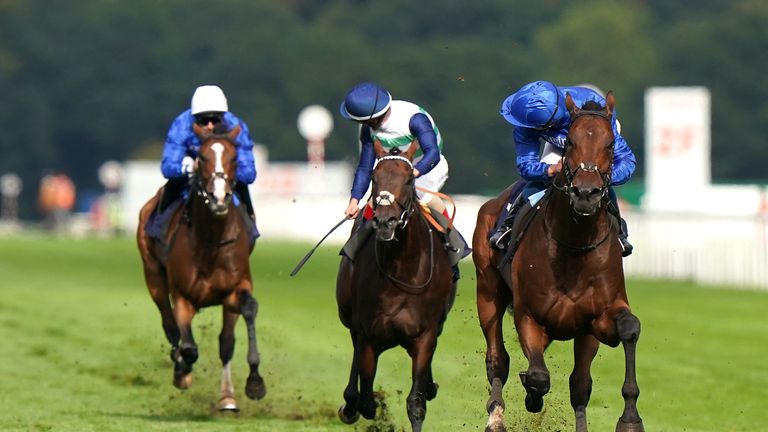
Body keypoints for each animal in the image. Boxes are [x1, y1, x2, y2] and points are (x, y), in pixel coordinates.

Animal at [137, 122, 268, 412]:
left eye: (234, 158)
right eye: (202, 157)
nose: (219, 197)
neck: (211, 240)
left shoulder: (236, 289)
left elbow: (246, 315)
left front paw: (253, 383)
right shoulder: (183, 296)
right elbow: (188, 346)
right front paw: (182, 371)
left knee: (225, 341)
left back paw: (227, 396)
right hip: (153, 276)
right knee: (170, 324)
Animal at [336, 140, 456, 432]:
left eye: (409, 179)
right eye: (374, 178)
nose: (384, 221)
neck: (403, 270)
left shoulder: (425, 334)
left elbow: (416, 403)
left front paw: (425, 390)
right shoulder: (369, 333)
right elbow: (367, 398)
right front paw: (359, 403)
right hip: (350, 317)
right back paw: (350, 404)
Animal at [474, 93, 640, 430]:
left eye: (610, 144)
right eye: (570, 143)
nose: (586, 193)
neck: (574, 247)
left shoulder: (596, 321)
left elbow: (584, 381)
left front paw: (630, 418)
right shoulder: (528, 315)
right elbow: (539, 376)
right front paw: (530, 393)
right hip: (487, 291)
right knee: (498, 359)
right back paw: (496, 417)